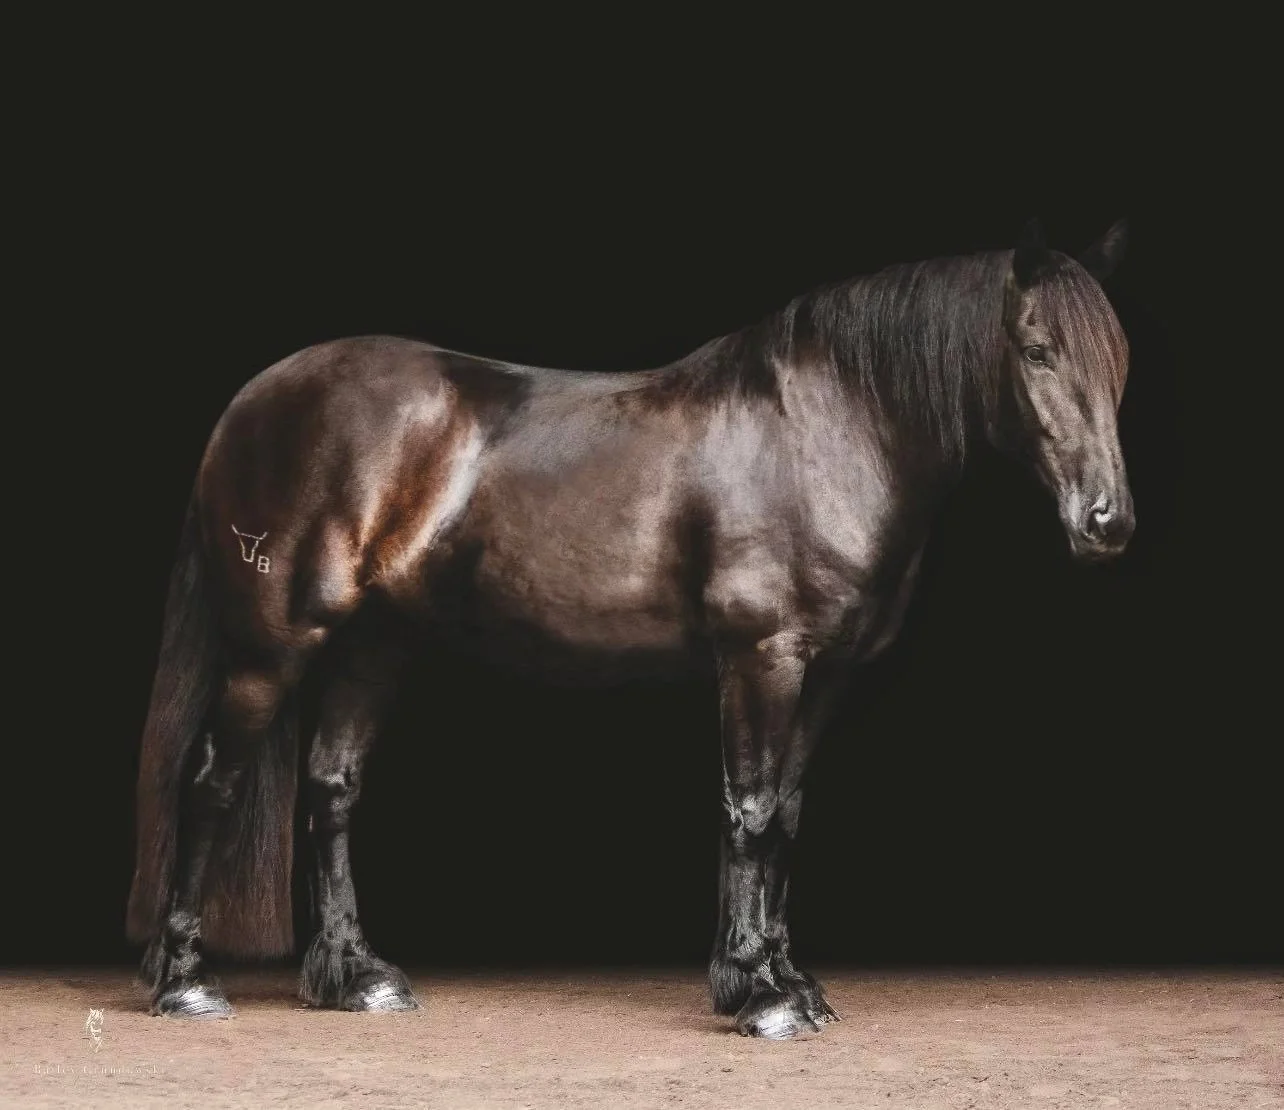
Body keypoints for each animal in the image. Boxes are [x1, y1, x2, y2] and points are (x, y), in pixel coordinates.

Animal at [127, 218, 1134, 1038]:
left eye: (1120, 358)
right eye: (1037, 349)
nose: (1107, 522)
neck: (828, 431)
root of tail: (252, 400)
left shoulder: (828, 673)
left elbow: (789, 814)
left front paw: (792, 981)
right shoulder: (761, 659)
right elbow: (750, 809)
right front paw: (756, 993)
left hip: (375, 646)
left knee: (331, 789)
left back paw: (357, 978)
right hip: (272, 648)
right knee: (211, 784)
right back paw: (187, 983)